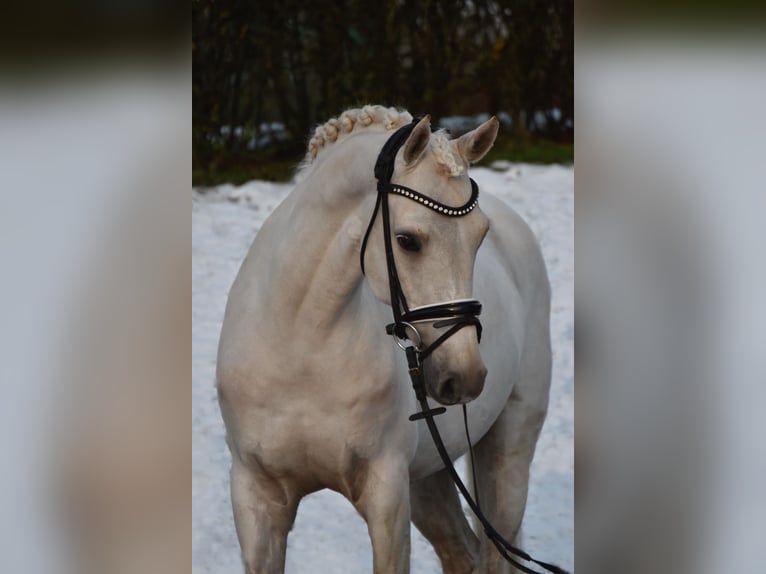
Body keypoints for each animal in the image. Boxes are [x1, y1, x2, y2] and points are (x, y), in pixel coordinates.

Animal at [216, 106, 552, 572]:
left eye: (480, 236)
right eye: (407, 241)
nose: (464, 376)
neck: (302, 350)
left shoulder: (386, 493)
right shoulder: (256, 498)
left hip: (508, 450)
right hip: (430, 477)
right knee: (462, 553)